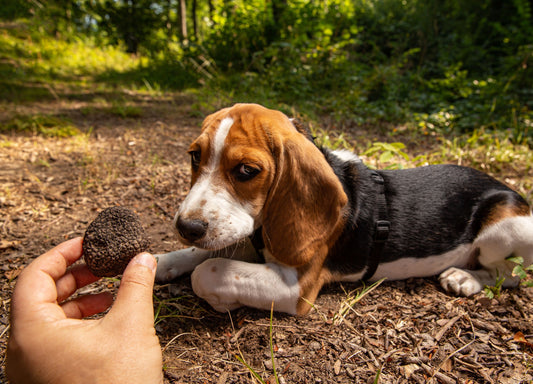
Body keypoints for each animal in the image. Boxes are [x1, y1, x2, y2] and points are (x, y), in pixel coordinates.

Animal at [156, 103, 532, 316]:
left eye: (247, 171)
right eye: (195, 156)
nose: (186, 227)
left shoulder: (296, 287)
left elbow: (209, 270)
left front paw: (222, 300)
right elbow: (198, 254)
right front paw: (160, 262)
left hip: (505, 228)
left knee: (510, 275)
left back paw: (465, 278)